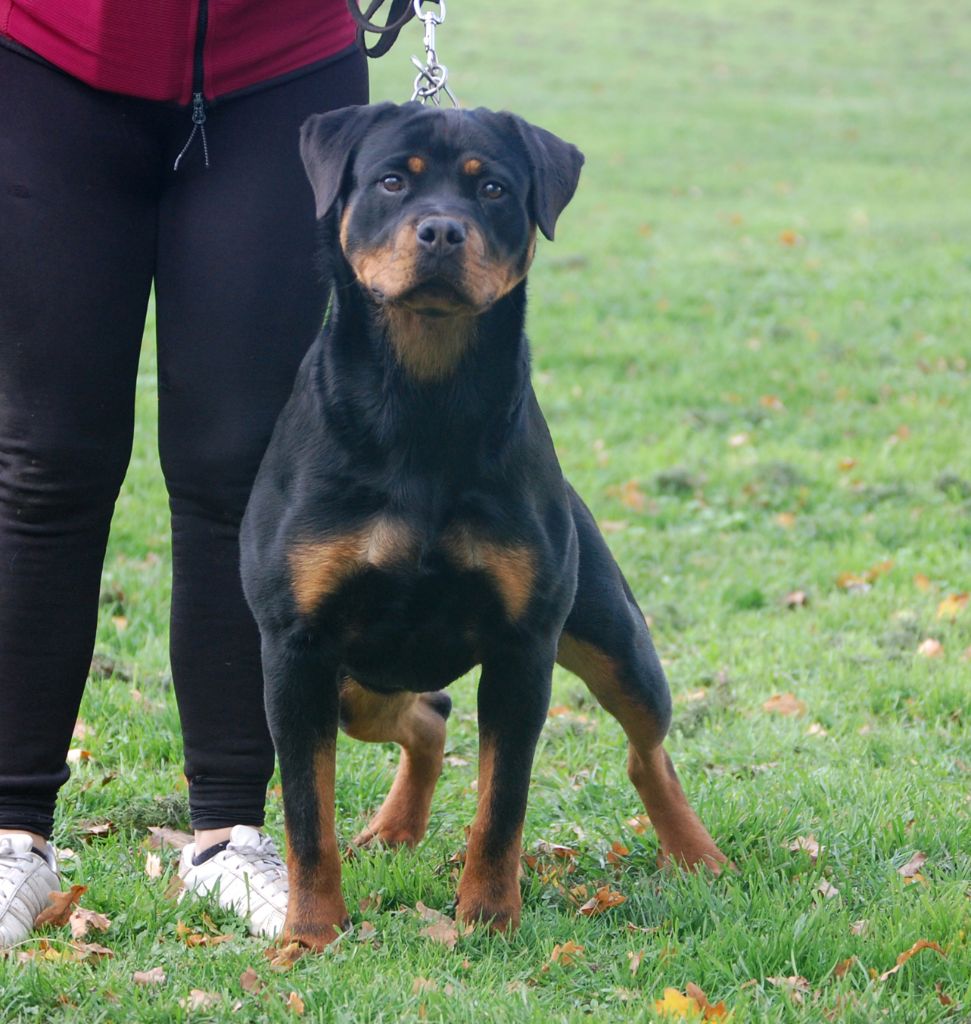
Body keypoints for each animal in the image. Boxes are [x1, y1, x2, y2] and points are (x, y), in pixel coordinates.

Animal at [240, 99, 729, 946]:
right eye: (392, 181)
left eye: (493, 188)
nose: (441, 230)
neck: (423, 404)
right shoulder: (294, 647)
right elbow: (307, 813)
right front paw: (310, 932)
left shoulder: (522, 646)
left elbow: (502, 801)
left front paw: (489, 917)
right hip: (349, 679)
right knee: (425, 713)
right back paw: (394, 827)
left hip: (615, 640)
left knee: (647, 750)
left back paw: (696, 853)